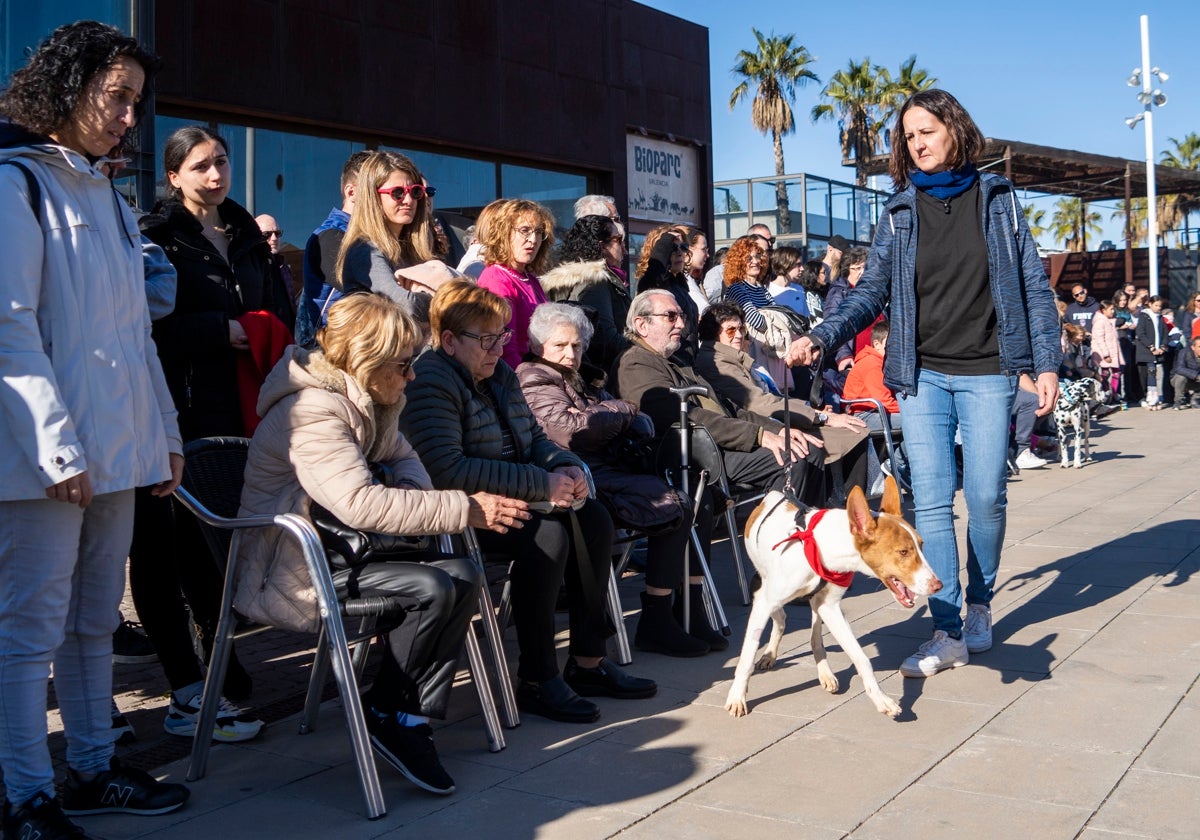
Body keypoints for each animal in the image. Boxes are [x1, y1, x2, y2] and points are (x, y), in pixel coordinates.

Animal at [724, 480, 940, 715]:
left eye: (921, 545)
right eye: (903, 552)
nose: (938, 585)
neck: (825, 547)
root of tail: (774, 494)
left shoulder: (830, 607)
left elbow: (861, 658)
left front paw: (881, 699)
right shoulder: (764, 602)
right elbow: (746, 657)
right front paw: (737, 697)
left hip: (817, 603)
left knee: (812, 635)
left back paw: (823, 672)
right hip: (764, 583)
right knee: (780, 617)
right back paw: (770, 654)